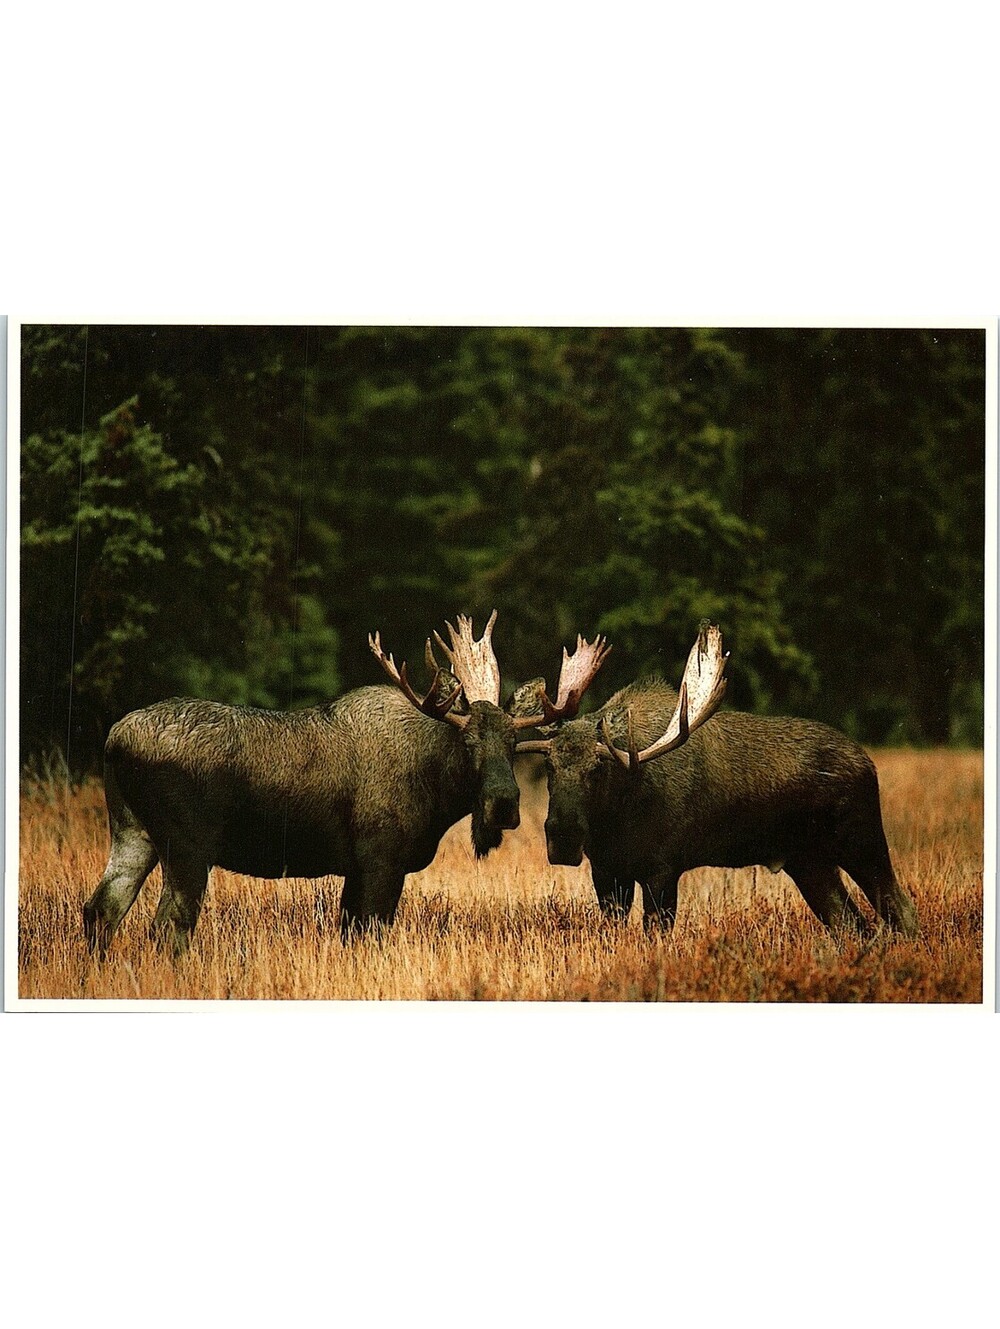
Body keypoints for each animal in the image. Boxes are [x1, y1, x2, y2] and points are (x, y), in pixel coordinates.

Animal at [82, 613, 611, 954]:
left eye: (513, 744)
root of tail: (113, 738)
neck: (436, 791)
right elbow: (371, 936)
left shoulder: (356, 868)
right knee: (166, 927)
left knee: (100, 911)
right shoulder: (381, 859)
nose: (503, 804)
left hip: (132, 832)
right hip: (187, 845)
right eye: (468, 744)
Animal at [517, 623, 919, 936]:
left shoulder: (663, 869)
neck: (616, 819)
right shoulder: (607, 870)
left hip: (861, 841)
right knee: (852, 924)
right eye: (549, 765)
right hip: (809, 861)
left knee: (901, 910)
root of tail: (868, 763)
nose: (562, 836)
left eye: (598, 769)